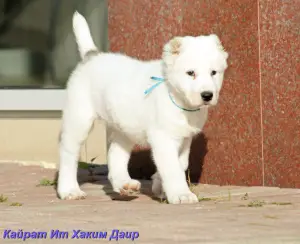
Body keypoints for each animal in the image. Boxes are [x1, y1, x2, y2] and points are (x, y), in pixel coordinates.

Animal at [57, 12, 229, 205]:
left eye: (214, 73)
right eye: (190, 73)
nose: (207, 95)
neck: (175, 96)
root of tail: (92, 56)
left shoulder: (185, 139)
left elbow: (180, 164)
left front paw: (160, 185)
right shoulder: (163, 137)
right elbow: (172, 168)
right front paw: (181, 194)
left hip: (123, 127)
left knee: (116, 154)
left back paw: (124, 184)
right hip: (79, 119)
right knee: (68, 154)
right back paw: (69, 190)